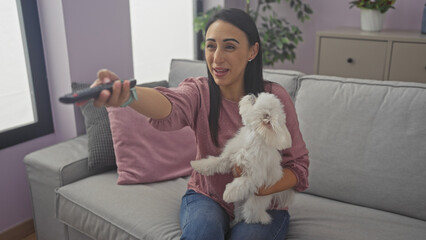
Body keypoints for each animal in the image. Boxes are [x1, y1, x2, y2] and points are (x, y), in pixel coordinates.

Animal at [191, 92, 294, 225]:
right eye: (257, 98)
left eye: (255, 103)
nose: (252, 96)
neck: (253, 138)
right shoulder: (230, 158)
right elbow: (215, 162)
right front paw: (198, 165)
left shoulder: (255, 176)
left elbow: (242, 183)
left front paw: (228, 193)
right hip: (239, 204)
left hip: (253, 205)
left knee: (251, 214)